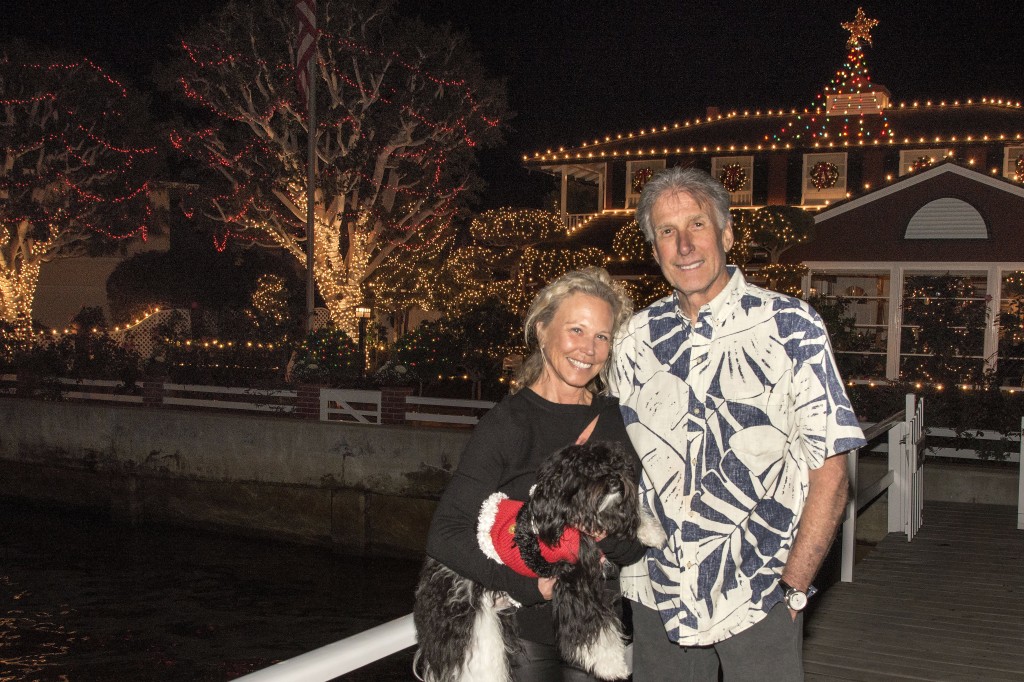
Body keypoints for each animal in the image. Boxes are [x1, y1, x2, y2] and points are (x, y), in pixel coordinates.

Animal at [411, 438, 667, 675]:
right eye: (586, 471)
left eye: (615, 464)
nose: (614, 480)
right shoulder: (573, 581)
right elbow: (593, 629)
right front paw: (612, 665)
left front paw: (652, 531)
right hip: (470, 614)